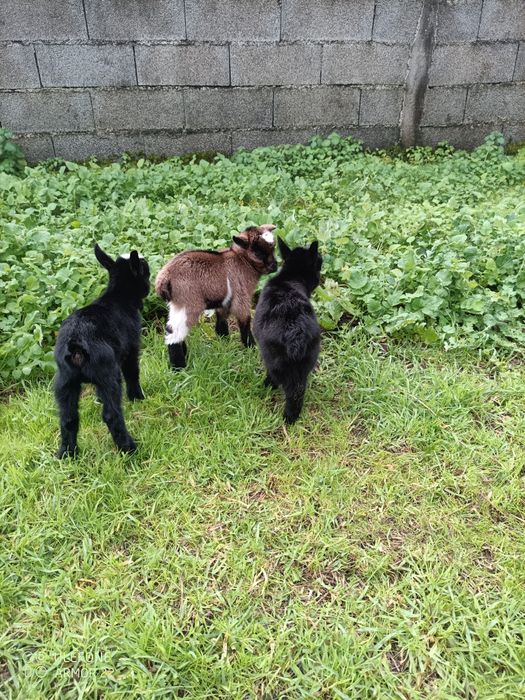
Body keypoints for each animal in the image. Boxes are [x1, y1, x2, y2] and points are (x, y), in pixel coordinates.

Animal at [54, 244, 150, 458]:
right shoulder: (131, 350)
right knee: (111, 415)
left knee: (68, 417)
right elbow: (133, 374)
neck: (118, 295)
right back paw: (129, 448)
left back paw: (67, 453)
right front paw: (137, 397)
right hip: (108, 375)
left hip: (64, 381)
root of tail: (76, 343)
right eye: (145, 269)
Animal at [155, 224, 277, 368]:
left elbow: (221, 321)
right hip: (189, 302)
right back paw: (179, 367)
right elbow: (245, 321)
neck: (242, 261)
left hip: (176, 304)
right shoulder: (241, 297)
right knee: (175, 331)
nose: (275, 267)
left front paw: (224, 343)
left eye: (273, 248)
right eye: (259, 253)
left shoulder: (225, 300)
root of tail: (165, 276)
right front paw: (251, 347)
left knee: (172, 329)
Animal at [253, 238, 322, 424]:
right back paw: (293, 417)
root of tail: (295, 331)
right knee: (298, 391)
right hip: (307, 361)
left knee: (283, 385)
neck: (290, 278)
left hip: (273, 358)